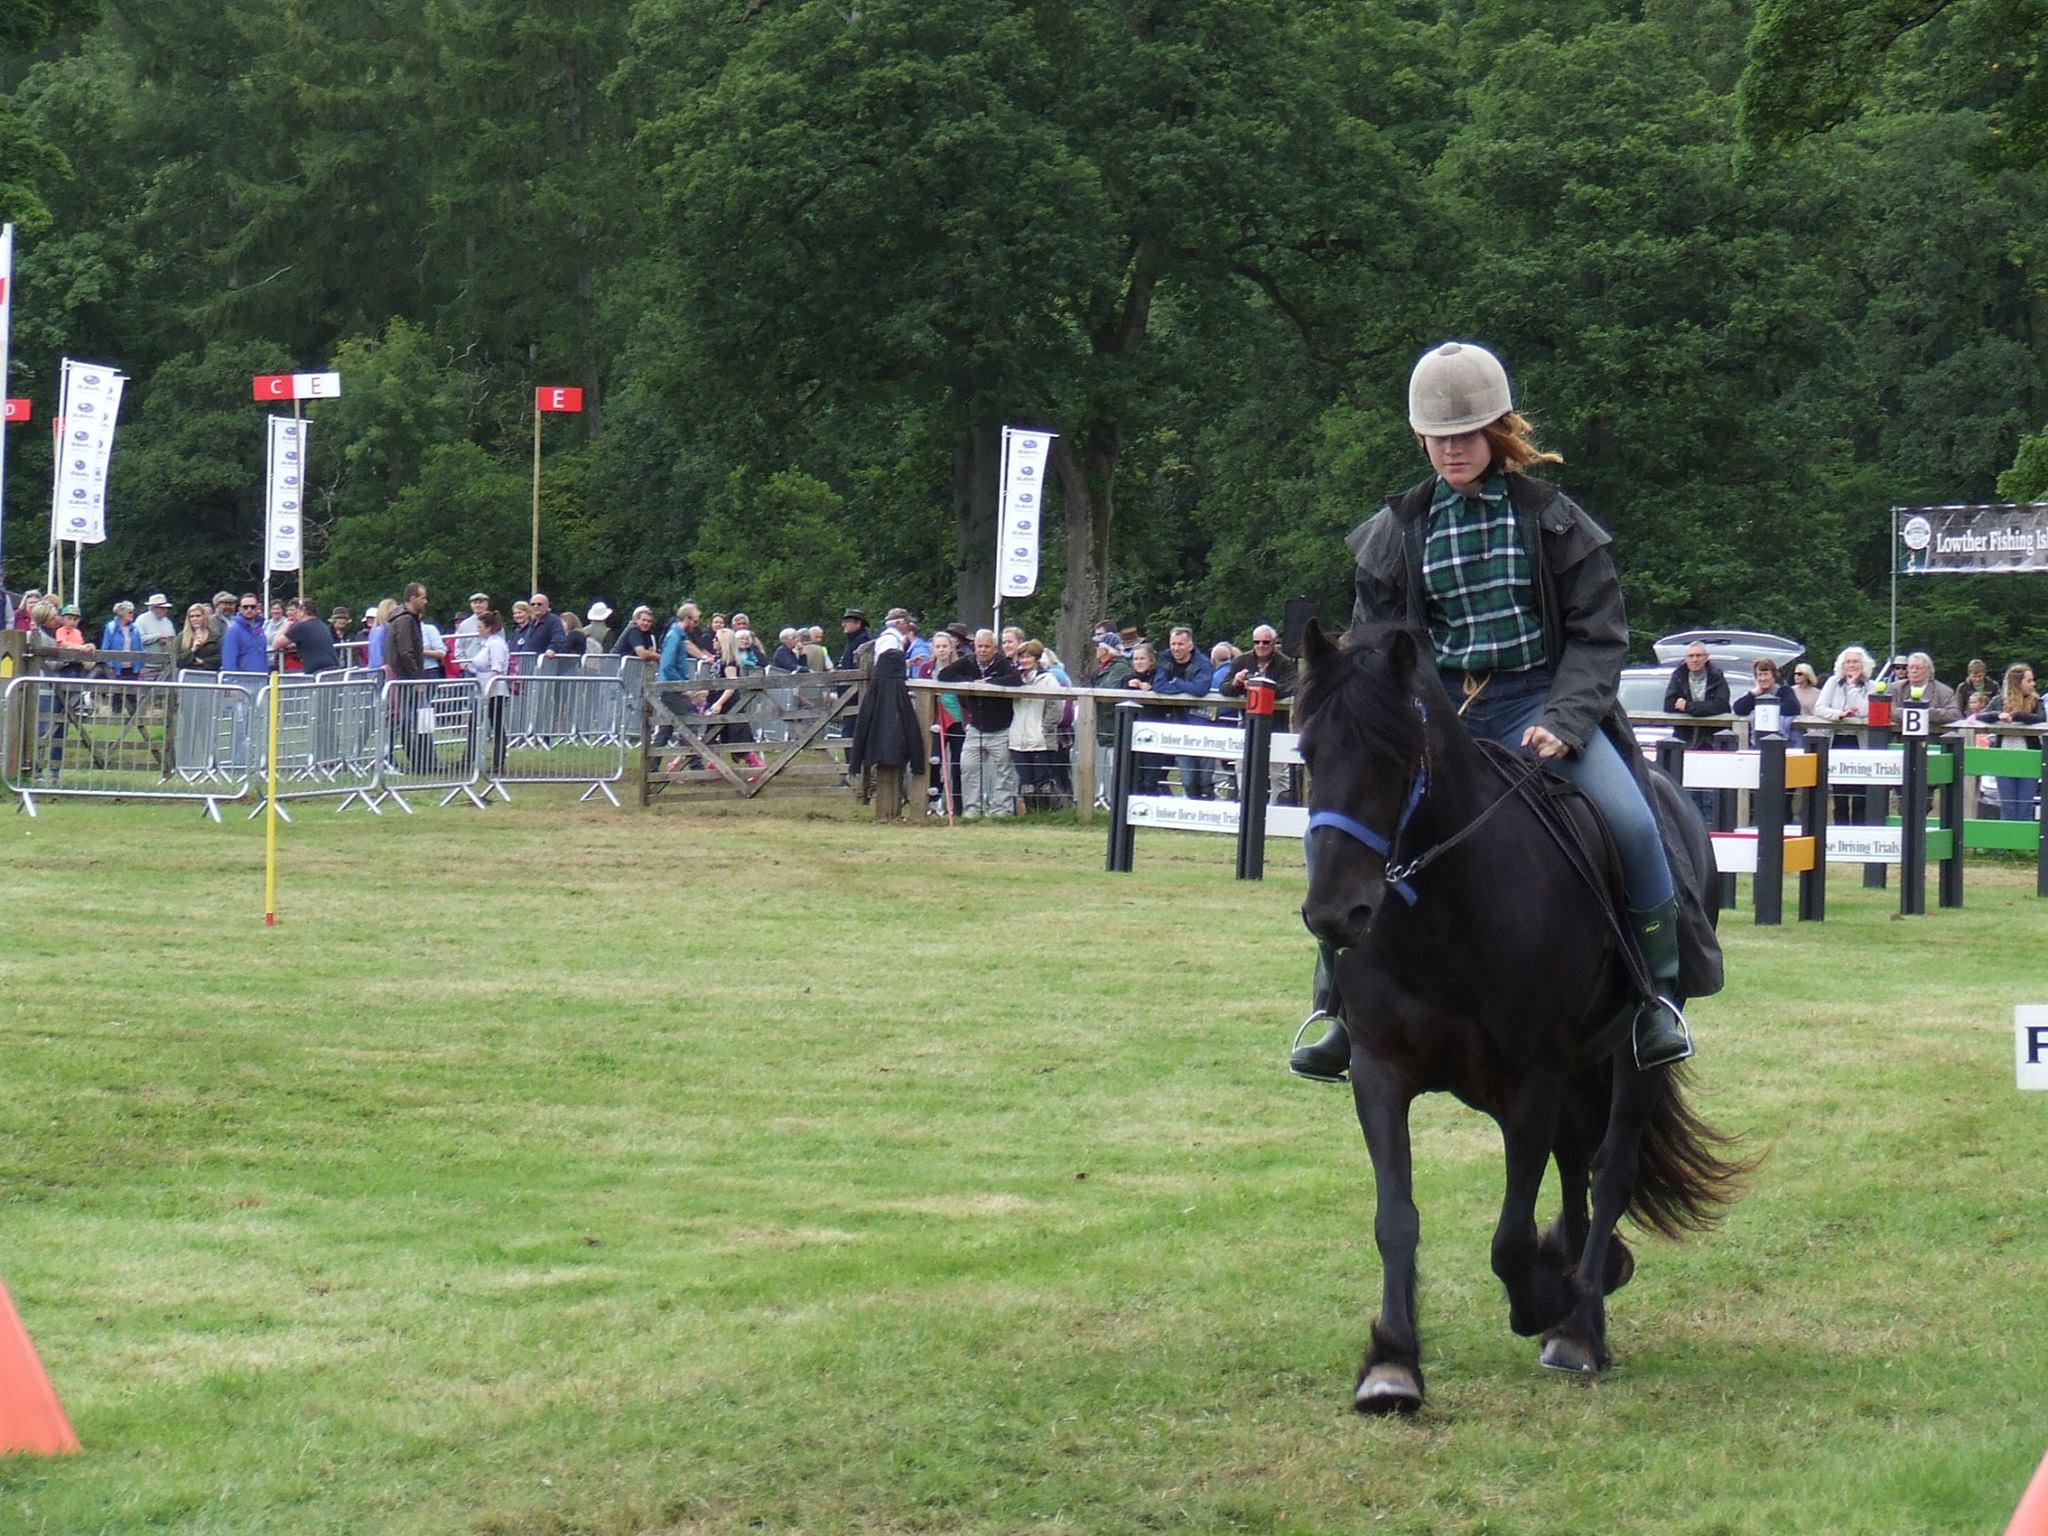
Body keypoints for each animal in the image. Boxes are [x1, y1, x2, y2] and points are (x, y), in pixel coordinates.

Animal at [1294, 618, 1744, 1417]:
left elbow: (1508, 1236)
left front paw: (1545, 1300)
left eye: (1396, 759)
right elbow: (1395, 1219)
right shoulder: (1379, 1072)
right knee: (1576, 1161)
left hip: (1628, 1058)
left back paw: (1579, 1325)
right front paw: (1393, 1364)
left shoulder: (1530, 1081)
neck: (1445, 911)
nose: (1335, 914)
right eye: (1308, 752)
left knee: (1610, 1166)